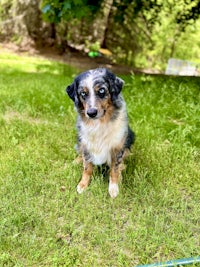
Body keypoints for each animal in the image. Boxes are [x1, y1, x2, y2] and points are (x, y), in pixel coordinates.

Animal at [67, 68, 134, 199]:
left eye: (102, 90)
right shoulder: (86, 145)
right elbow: (87, 168)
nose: (91, 113)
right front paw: (83, 184)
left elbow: (114, 169)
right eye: (83, 93)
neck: (99, 124)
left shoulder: (118, 147)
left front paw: (113, 188)